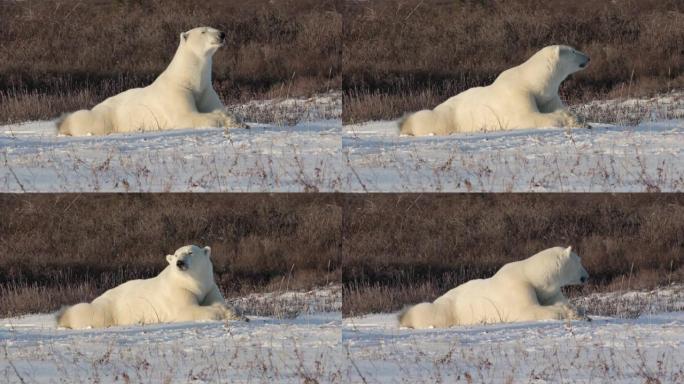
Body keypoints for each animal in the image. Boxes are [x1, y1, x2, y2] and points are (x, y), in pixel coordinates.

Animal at [57, 244, 246, 328]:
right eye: (176, 254)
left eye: (190, 252)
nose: (179, 262)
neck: (193, 282)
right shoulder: (178, 291)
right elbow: (188, 310)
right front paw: (225, 312)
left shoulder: (208, 287)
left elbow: (215, 300)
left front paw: (234, 310)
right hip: (110, 308)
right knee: (90, 312)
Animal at [398, 45, 592, 136]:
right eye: (573, 50)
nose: (588, 57)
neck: (532, 81)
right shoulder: (517, 94)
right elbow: (528, 117)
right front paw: (566, 118)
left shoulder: (547, 95)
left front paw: (581, 120)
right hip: (450, 117)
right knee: (429, 118)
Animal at [398, 248, 592, 328]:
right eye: (580, 261)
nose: (587, 275)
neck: (533, 276)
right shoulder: (516, 288)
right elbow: (528, 310)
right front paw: (568, 312)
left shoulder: (547, 291)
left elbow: (558, 301)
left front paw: (579, 312)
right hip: (450, 308)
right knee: (429, 311)